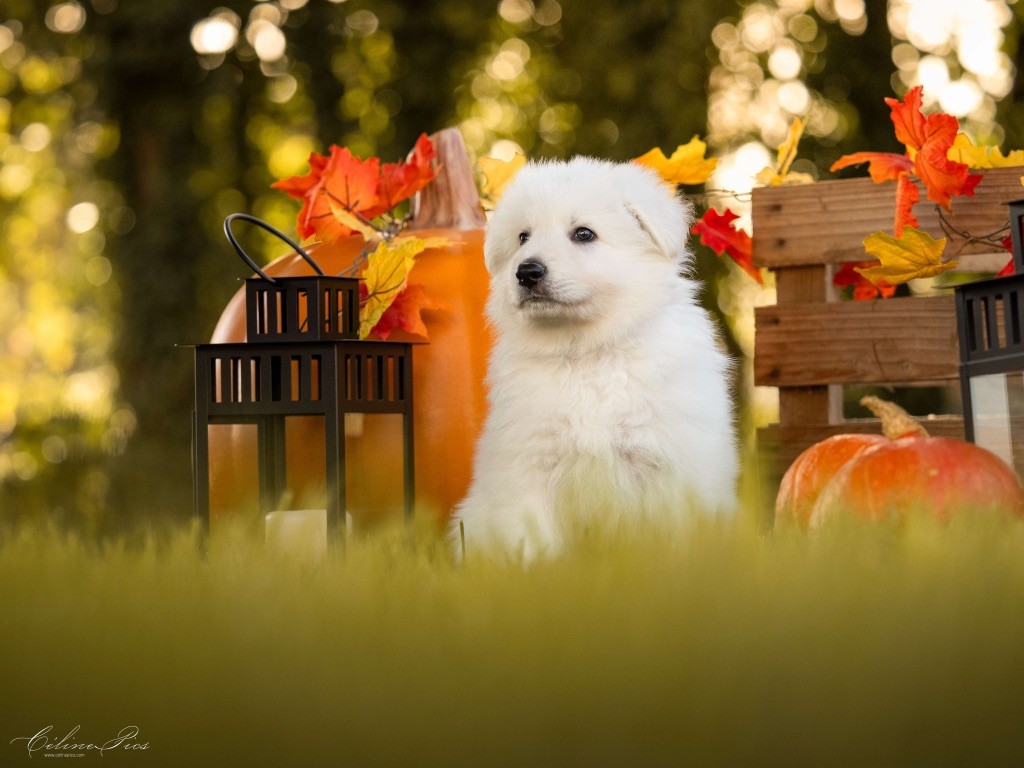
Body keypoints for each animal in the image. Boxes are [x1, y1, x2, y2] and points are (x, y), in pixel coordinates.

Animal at [456, 157, 737, 561]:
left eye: (584, 234)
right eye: (523, 237)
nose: (526, 271)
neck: (587, 351)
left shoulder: (668, 460)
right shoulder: (529, 463)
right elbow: (534, 543)